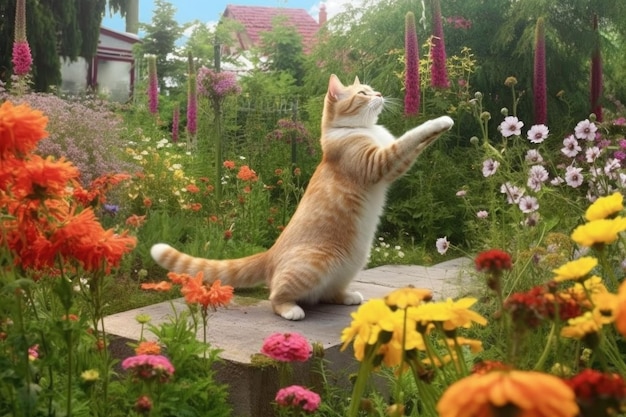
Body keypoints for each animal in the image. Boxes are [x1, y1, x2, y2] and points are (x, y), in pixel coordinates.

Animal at [151, 73, 454, 320]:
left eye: (371, 90)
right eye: (362, 93)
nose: (379, 95)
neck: (362, 130)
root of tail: (270, 254)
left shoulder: (395, 166)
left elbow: (415, 144)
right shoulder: (380, 162)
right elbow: (411, 136)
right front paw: (441, 120)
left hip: (351, 265)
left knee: (327, 293)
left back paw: (347, 296)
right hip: (314, 265)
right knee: (275, 296)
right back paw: (290, 309)